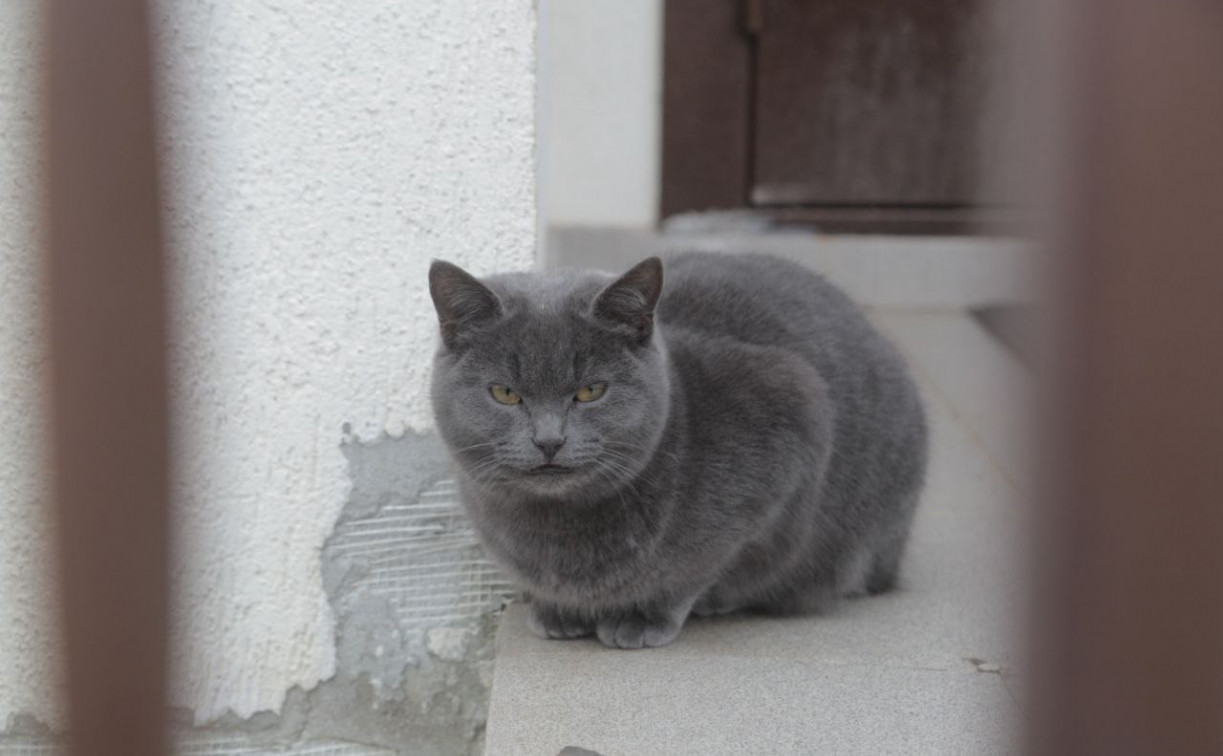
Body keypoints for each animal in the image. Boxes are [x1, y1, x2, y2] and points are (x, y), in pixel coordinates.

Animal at [430, 253, 924, 645]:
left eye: (590, 391)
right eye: (505, 393)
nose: (549, 440)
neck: (553, 529)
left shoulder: (795, 409)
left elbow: (699, 567)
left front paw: (643, 615)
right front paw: (557, 610)